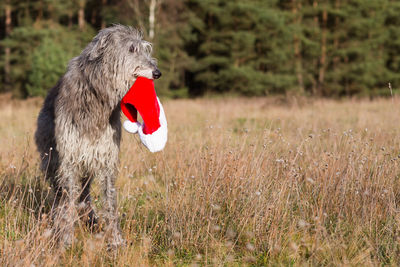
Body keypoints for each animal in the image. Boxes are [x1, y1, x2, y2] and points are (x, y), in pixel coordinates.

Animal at [34, 25, 162, 249]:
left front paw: (116, 240)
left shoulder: (105, 155)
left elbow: (110, 200)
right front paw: (66, 240)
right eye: (132, 49)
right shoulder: (70, 157)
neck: (97, 95)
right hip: (51, 159)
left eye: (146, 48)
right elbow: (68, 200)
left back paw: (91, 220)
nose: (157, 72)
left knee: (84, 193)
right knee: (60, 195)